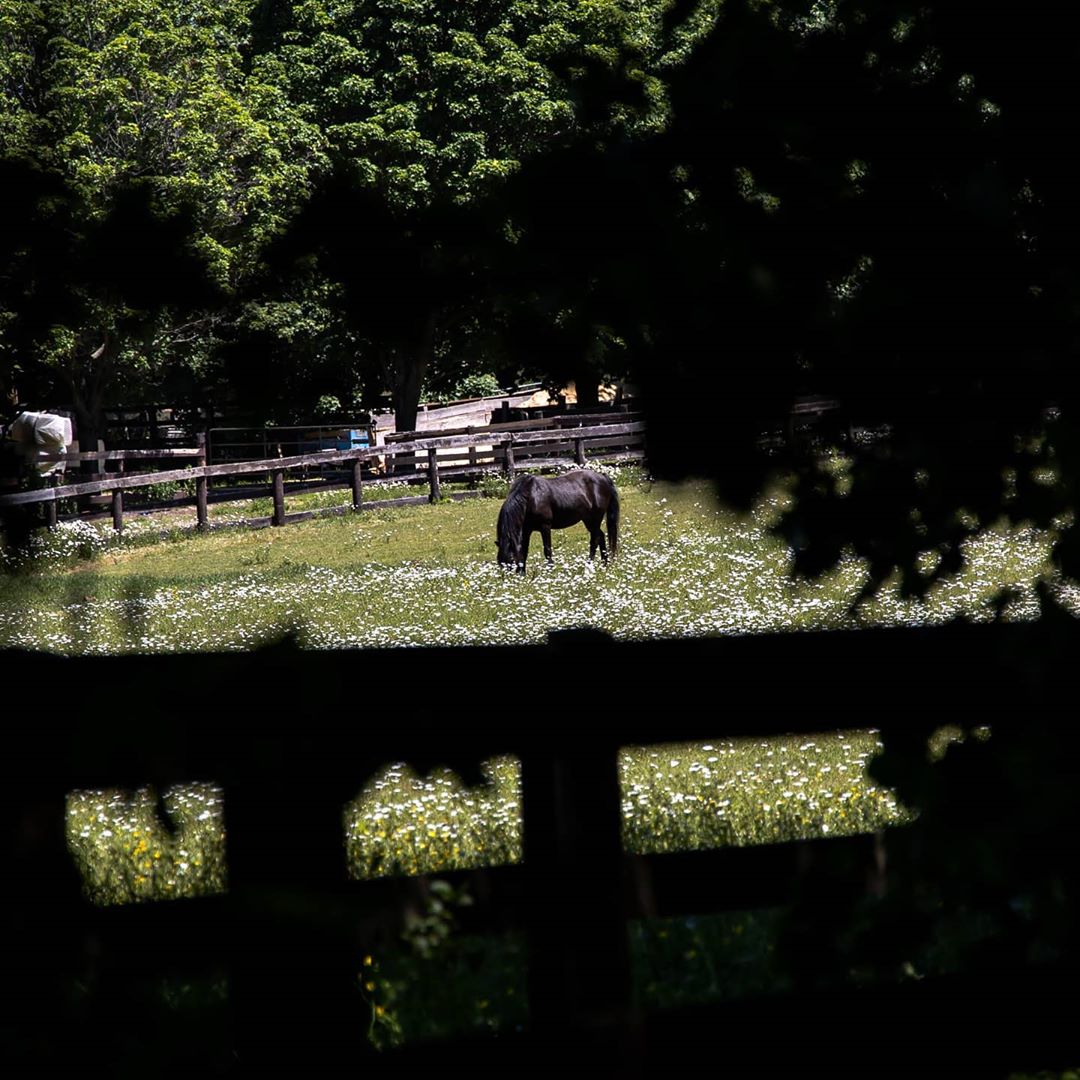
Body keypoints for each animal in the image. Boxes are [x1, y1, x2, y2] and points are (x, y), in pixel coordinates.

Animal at [494, 470, 622, 574]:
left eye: (511, 559)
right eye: (499, 562)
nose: (511, 581)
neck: (531, 497)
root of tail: (603, 477)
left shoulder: (545, 527)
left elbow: (547, 550)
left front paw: (550, 571)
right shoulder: (526, 530)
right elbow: (524, 550)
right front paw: (523, 573)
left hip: (594, 519)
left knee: (595, 540)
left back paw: (588, 566)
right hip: (589, 521)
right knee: (601, 536)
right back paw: (604, 564)